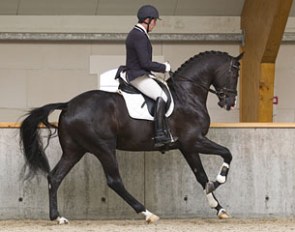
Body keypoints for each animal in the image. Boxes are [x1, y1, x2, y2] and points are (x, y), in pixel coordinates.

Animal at [19, 51, 244, 225]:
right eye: (234, 72)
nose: (230, 103)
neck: (187, 95)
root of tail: (68, 105)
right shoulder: (193, 140)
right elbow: (227, 153)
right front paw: (218, 181)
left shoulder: (187, 146)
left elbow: (201, 176)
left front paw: (219, 207)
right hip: (104, 148)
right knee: (114, 181)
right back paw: (147, 214)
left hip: (74, 150)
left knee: (55, 177)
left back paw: (57, 217)